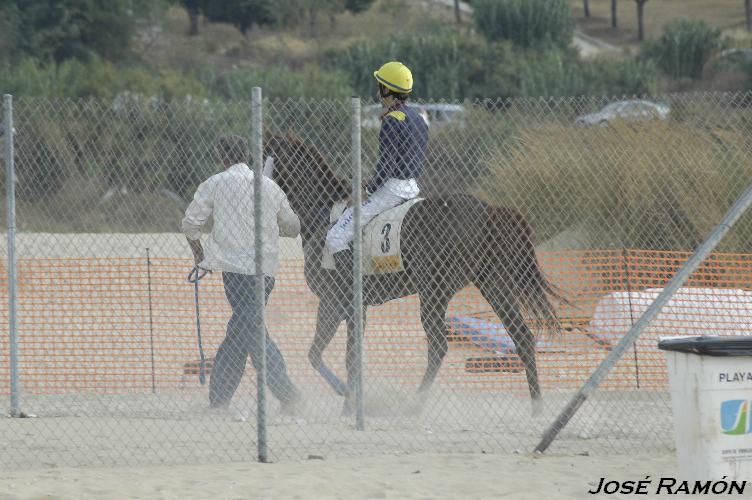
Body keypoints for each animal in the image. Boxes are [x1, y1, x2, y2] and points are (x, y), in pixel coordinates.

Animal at [264, 132, 560, 414]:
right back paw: (537, 406)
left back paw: (414, 405)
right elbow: (335, 356)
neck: (324, 217)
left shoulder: (337, 302)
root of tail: (487, 211)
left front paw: (349, 399)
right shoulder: (348, 306)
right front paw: (350, 401)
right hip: (494, 286)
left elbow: (332, 356)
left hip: (434, 293)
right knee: (522, 337)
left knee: (439, 346)